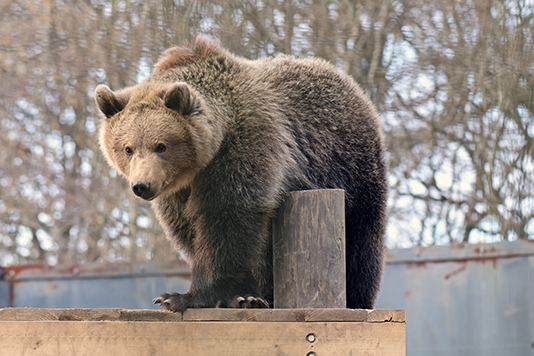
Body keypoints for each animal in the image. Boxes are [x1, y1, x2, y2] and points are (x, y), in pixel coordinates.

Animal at [95, 34, 390, 310]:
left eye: (161, 145)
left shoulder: (246, 146)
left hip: (347, 166)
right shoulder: (178, 189)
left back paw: (357, 298)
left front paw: (183, 297)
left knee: (360, 243)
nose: (142, 185)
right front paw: (242, 294)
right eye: (128, 148)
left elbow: (227, 218)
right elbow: (191, 227)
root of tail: (352, 85)